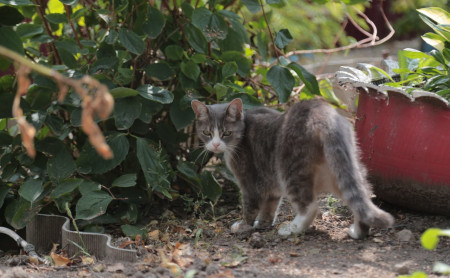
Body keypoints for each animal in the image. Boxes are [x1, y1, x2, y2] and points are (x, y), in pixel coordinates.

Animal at [190, 97, 394, 239]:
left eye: (226, 133)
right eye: (207, 132)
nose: (216, 145)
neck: (243, 130)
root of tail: (323, 113)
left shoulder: (250, 181)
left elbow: (250, 206)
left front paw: (243, 226)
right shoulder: (270, 184)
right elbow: (269, 207)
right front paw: (262, 224)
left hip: (290, 170)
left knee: (310, 206)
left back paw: (291, 229)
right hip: (341, 167)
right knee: (360, 196)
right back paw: (358, 232)